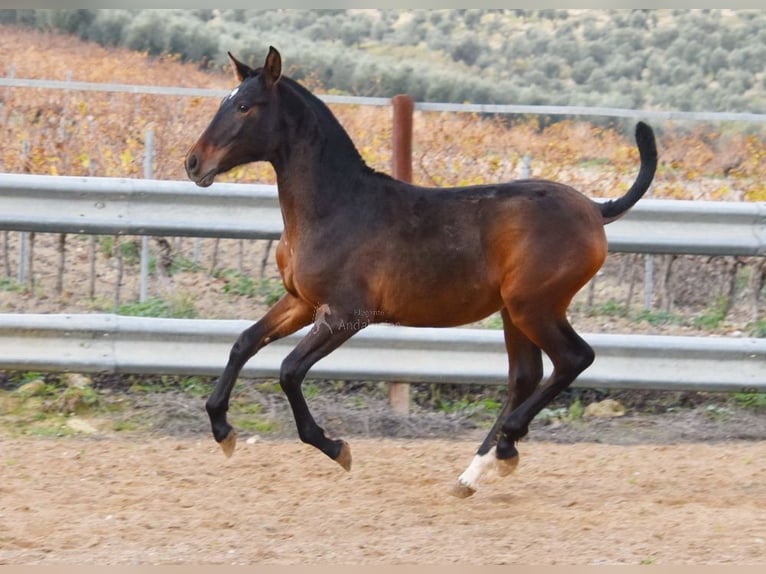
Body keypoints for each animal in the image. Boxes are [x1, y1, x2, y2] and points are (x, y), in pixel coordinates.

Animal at [183, 47, 656, 498]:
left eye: (245, 106)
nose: (193, 163)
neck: (336, 206)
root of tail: (594, 208)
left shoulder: (346, 315)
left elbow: (289, 371)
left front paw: (337, 448)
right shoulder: (302, 302)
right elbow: (244, 343)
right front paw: (222, 430)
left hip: (534, 307)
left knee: (575, 359)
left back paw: (505, 446)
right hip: (515, 312)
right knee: (526, 376)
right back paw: (475, 473)